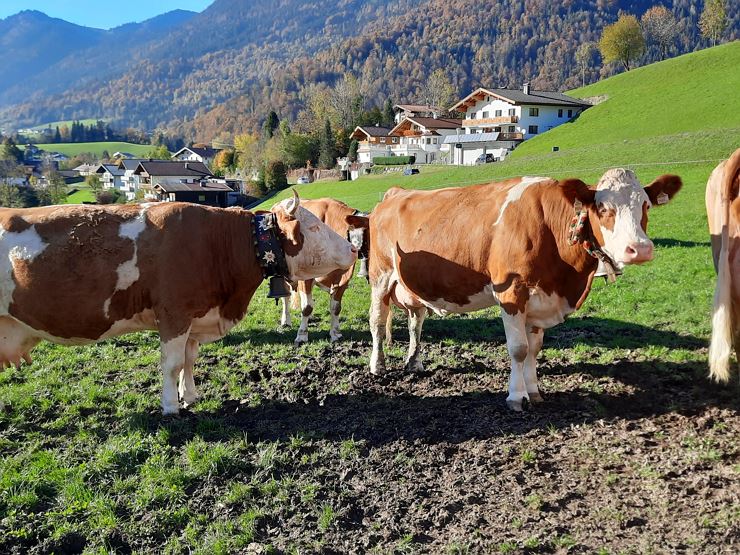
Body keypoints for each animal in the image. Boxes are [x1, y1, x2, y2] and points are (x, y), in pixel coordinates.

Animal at [0, 190, 357, 414]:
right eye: (314, 226)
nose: (353, 249)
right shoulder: (174, 314)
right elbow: (172, 363)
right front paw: (171, 406)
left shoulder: (194, 317)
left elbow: (189, 359)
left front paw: (191, 395)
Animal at [279, 198, 369, 344]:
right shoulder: (305, 278)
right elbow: (307, 307)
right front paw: (302, 335)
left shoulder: (343, 280)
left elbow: (336, 308)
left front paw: (335, 333)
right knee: (285, 297)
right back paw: (285, 321)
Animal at [368, 169, 682, 411]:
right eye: (604, 208)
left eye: (646, 205)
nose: (639, 249)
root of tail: (396, 192)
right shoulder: (511, 293)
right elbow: (519, 350)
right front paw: (516, 397)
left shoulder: (540, 300)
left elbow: (534, 349)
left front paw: (534, 392)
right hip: (380, 276)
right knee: (377, 323)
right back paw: (377, 366)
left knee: (415, 323)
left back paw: (414, 362)